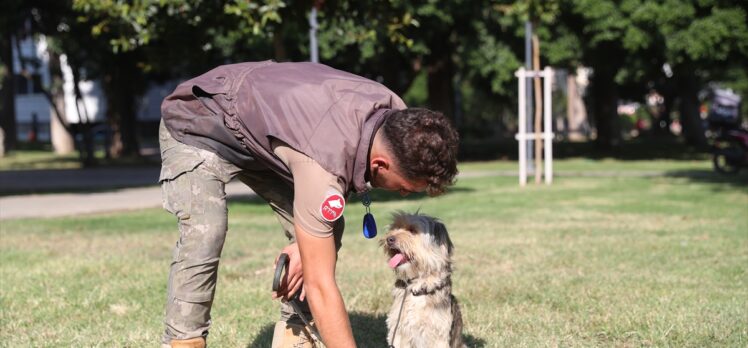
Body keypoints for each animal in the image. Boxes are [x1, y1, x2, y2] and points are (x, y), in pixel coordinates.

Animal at [382, 212, 464, 348]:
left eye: (413, 231)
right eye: (395, 227)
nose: (389, 239)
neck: (416, 289)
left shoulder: (438, 334)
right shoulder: (398, 330)